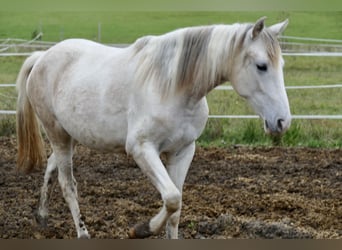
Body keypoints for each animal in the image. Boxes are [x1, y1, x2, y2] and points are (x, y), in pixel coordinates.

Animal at [15, 16, 288, 239]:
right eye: (261, 65)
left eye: (281, 64)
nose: (283, 121)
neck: (172, 86)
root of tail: (42, 58)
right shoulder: (142, 149)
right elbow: (172, 198)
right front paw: (141, 230)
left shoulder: (183, 151)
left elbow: (176, 208)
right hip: (57, 134)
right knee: (68, 184)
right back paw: (82, 233)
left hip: (71, 136)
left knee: (52, 166)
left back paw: (42, 216)